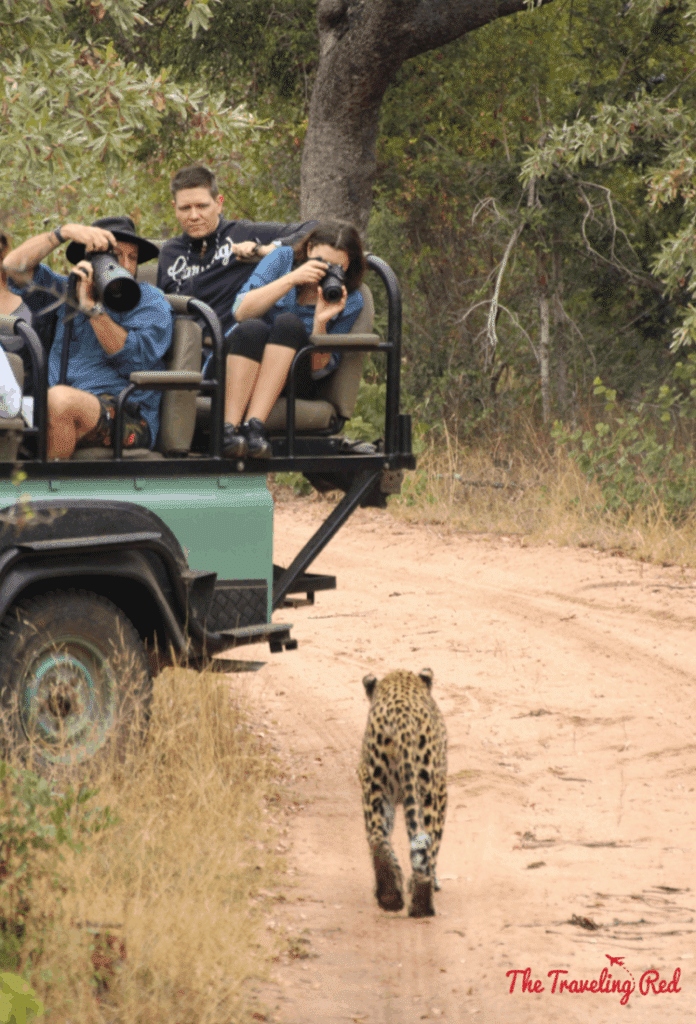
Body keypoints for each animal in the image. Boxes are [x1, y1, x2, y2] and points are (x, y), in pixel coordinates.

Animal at [357, 668, 447, 918]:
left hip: (374, 785)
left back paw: (390, 893)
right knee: (427, 843)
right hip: (427, 791)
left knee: (377, 837)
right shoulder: (441, 789)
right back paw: (422, 900)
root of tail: (401, 714)